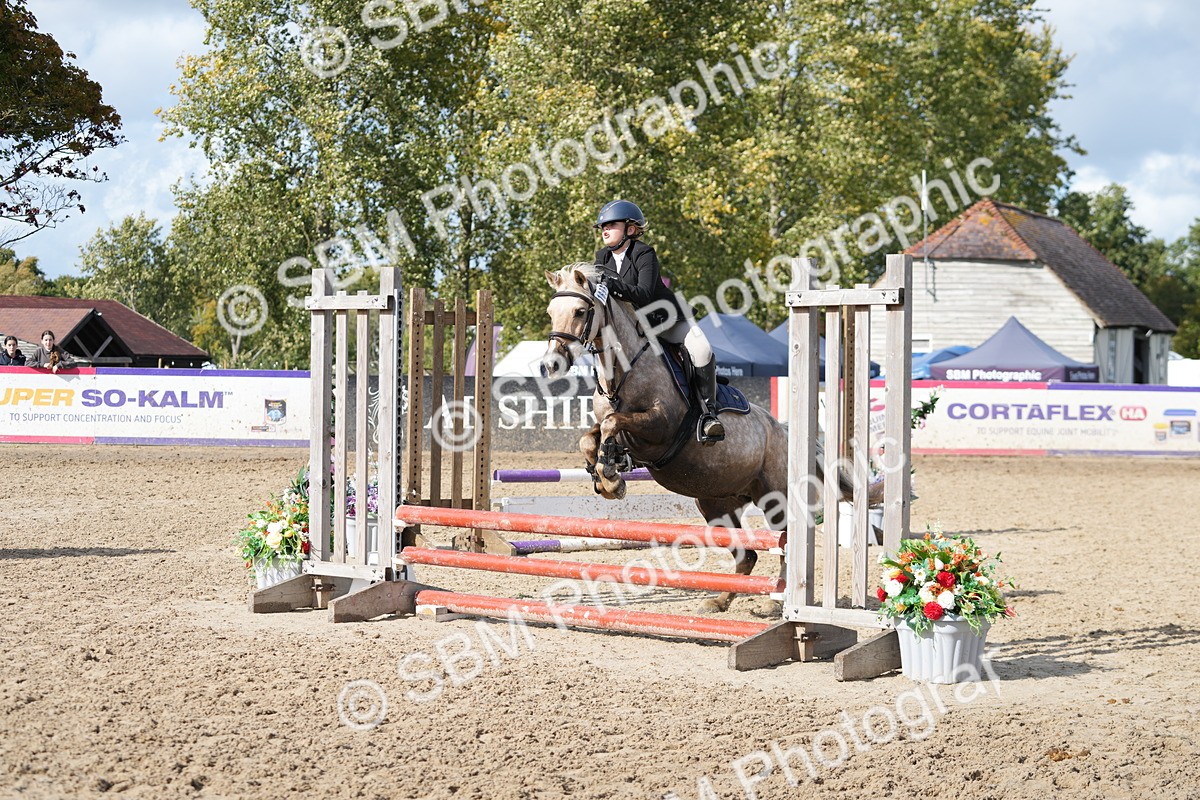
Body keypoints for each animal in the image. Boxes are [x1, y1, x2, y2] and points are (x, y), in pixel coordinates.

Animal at [541, 263, 878, 615]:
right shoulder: (617, 428)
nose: (551, 364)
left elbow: (612, 423)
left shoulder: (659, 428)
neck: (623, 372)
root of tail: (785, 431)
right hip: (716, 505)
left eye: (580, 311)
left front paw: (610, 477)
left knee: (786, 544)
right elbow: (591, 437)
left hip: (776, 499)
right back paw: (718, 601)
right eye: (551, 312)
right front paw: (606, 476)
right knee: (749, 555)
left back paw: (776, 602)